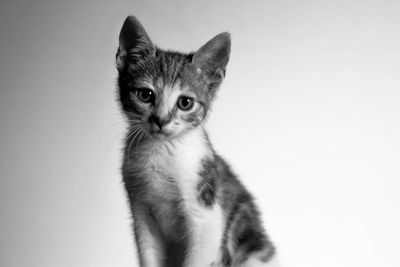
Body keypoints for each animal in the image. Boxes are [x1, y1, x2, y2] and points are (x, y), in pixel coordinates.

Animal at [116, 15, 278, 266]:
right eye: (145, 95)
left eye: (185, 103)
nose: (160, 120)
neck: (161, 150)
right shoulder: (141, 213)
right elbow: (148, 252)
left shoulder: (207, 216)